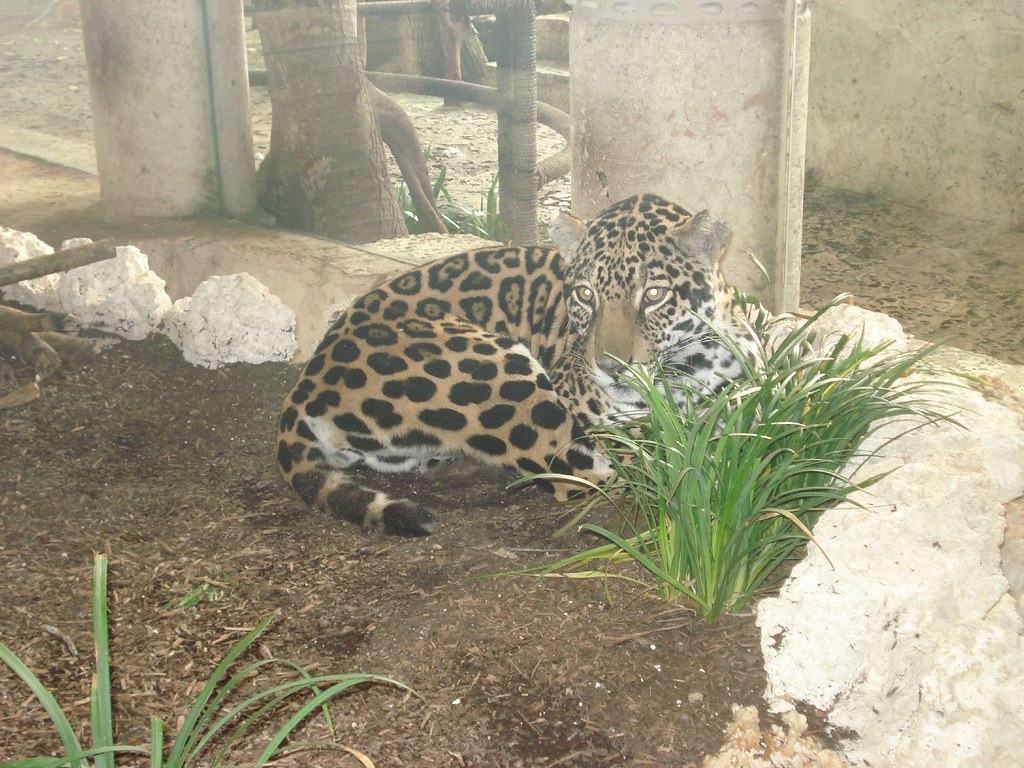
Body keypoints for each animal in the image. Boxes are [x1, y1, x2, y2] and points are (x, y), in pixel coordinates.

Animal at [276, 192, 754, 536]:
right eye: (585, 295)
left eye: (654, 295)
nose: (611, 367)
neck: (688, 374)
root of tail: (303, 388)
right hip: (502, 380)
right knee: (593, 473)